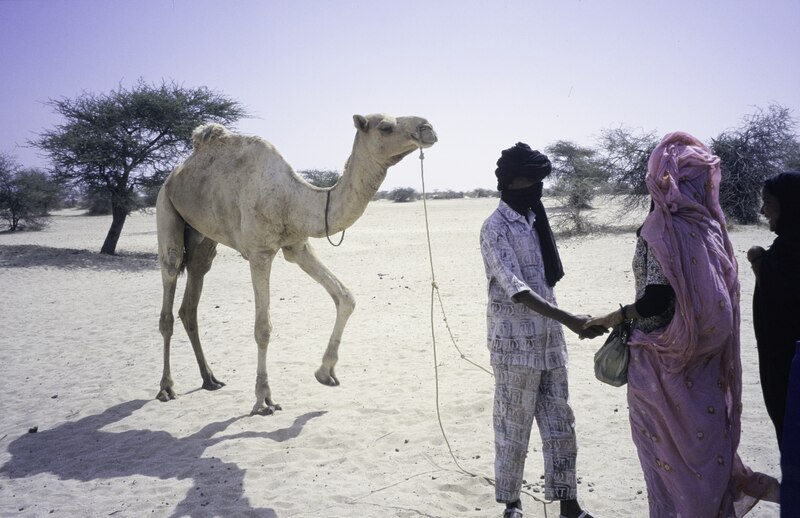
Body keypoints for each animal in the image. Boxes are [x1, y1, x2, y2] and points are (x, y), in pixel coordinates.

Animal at [155, 115, 438, 418]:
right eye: (385, 126)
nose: (428, 128)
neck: (292, 199)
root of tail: (174, 175)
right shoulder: (260, 253)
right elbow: (263, 327)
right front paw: (263, 399)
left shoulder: (297, 246)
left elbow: (345, 296)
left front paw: (326, 373)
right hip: (166, 207)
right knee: (170, 282)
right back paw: (166, 388)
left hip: (202, 235)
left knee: (193, 291)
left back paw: (210, 379)